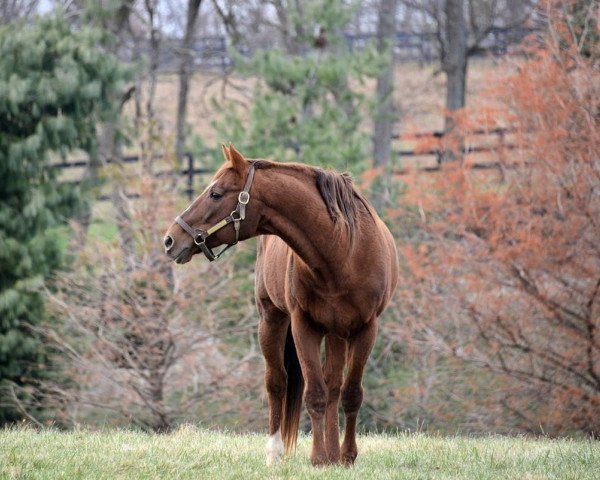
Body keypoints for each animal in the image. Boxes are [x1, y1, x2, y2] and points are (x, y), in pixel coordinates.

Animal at [164, 145, 398, 464]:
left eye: (215, 193)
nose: (170, 240)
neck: (342, 252)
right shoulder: (303, 326)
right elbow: (314, 394)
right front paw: (319, 459)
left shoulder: (366, 329)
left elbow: (350, 394)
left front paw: (346, 457)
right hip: (271, 319)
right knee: (277, 382)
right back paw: (275, 452)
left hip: (336, 334)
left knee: (334, 386)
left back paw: (334, 453)